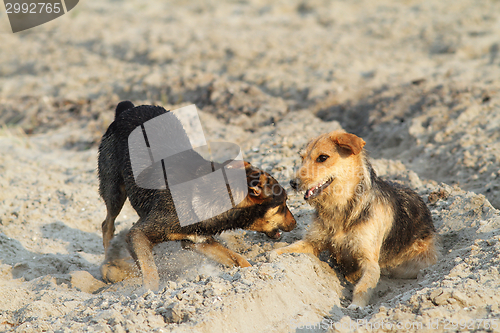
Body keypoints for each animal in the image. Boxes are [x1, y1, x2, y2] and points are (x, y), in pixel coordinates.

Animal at [97, 100, 294, 288]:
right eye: (283, 204)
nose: (296, 223)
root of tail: (127, 109)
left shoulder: (199, 241)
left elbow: (237, 258)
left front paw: (254, 273)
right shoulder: (137, 235)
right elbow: (150, 270)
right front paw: (149, 292)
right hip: (114, 190)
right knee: (107, 225)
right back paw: (108, 265)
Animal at [270, 131, 438, 308]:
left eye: (322, 157)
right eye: (302, 158)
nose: (292, 183)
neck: (341, 207)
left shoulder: (369, 261)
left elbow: (363, 286)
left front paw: (357, 305)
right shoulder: (312, 242)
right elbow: (289, 248)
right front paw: (274, 257)